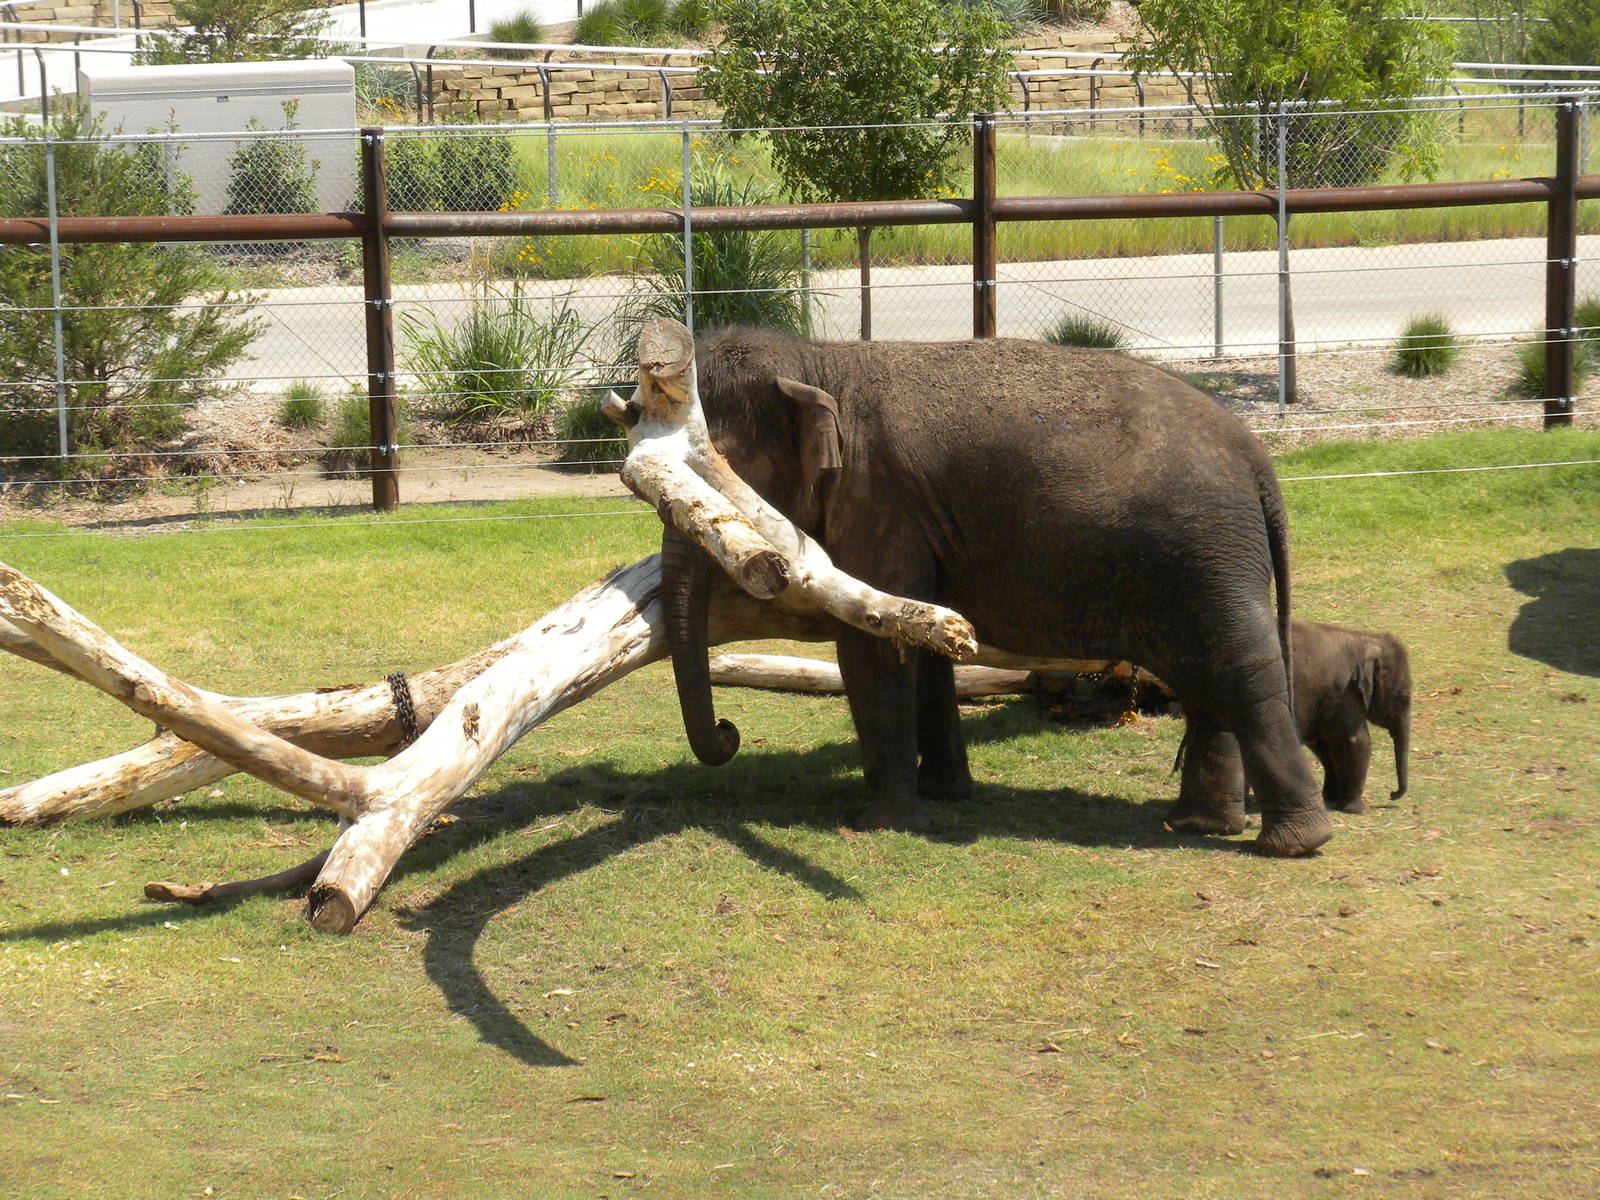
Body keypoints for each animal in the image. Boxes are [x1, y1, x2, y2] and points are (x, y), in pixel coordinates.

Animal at [658, 329, 1333, 857]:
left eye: (717, 472)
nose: (729, 732)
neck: (821, 361)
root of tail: (1261, 464)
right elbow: (926, 636)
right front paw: (948, 794)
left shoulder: (880, 501)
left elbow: (874, 649)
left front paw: (884, 824)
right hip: (1197, 569)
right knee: (1204, 680)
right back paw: (1197, 825)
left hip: (1207, 557)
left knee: (1239, 672)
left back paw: (1294, 842)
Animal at [1173, 618, 1412, 829]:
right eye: (1404, 697)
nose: (1392, 795)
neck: (1364, 639)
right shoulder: (1345, 691)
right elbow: (1354, 740)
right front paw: (1359, 809)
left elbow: (1320, 742)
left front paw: (1330, 797)